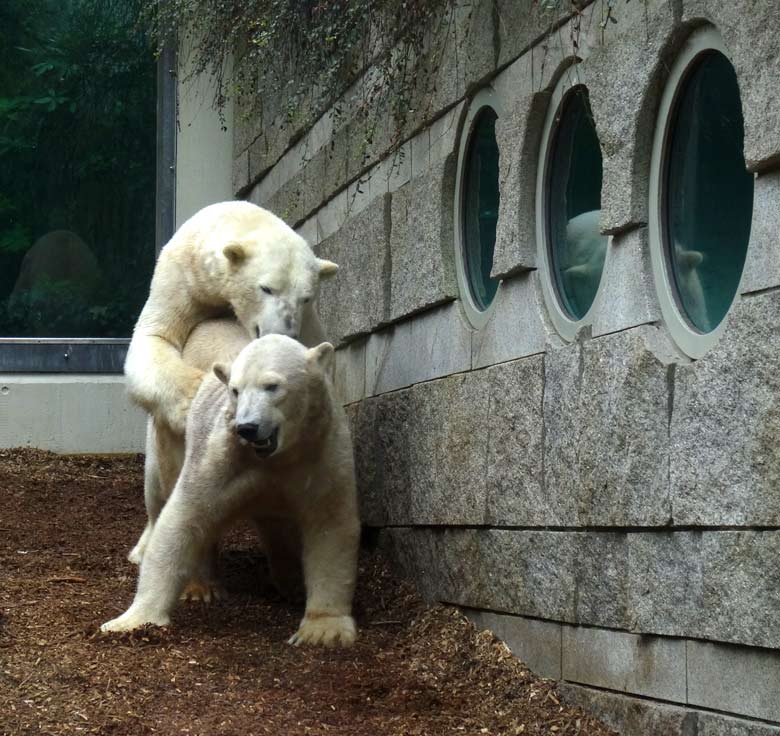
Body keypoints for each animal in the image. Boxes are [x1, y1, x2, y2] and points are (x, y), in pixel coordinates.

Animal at [103, 334, 360, 648]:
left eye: (272, 385)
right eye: (235, 391)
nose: (247, 427)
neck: (277, 457)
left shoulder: (322, 452)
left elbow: (329, 525)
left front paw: (322, 630)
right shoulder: (222, 457)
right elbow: (185, 516)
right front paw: (133, 620)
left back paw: (291, 584)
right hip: (169, 440)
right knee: (159, 496)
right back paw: (199, 585)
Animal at [125, 198, 338, 434]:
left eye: (306, 298)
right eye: (266, 288)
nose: (285, 333)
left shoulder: (308, 322)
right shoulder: (181, 279)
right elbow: (157, 335)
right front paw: (192, 400)